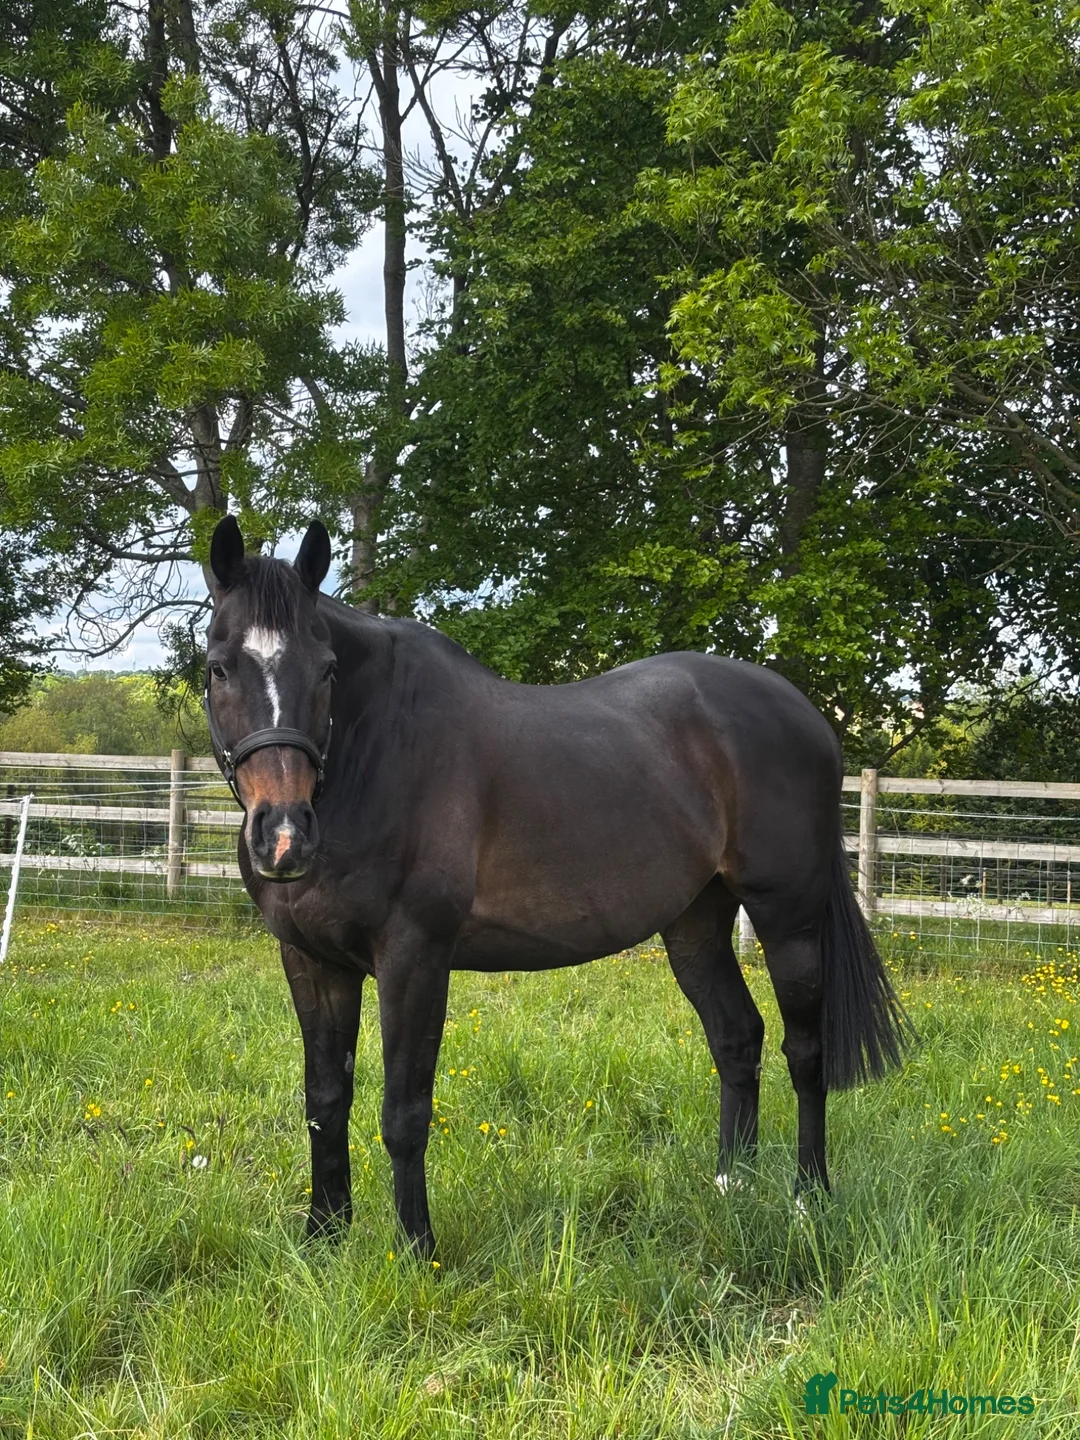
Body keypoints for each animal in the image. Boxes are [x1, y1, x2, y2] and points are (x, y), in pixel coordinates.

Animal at [204, 514, 912, 1256]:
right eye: (218, 667)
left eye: (328, 669)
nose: (285, 835)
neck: (375, 750)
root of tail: (807, 716)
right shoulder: (312, 960)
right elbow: (324, 1101)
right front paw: (322, 1237)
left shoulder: (415, 958)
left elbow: (404, 1111)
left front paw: (418, 1251)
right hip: (694, 923)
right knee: (736, 1036)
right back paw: (731, 1188)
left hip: (788, 919)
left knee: (805, 1052)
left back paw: (808, 1199)